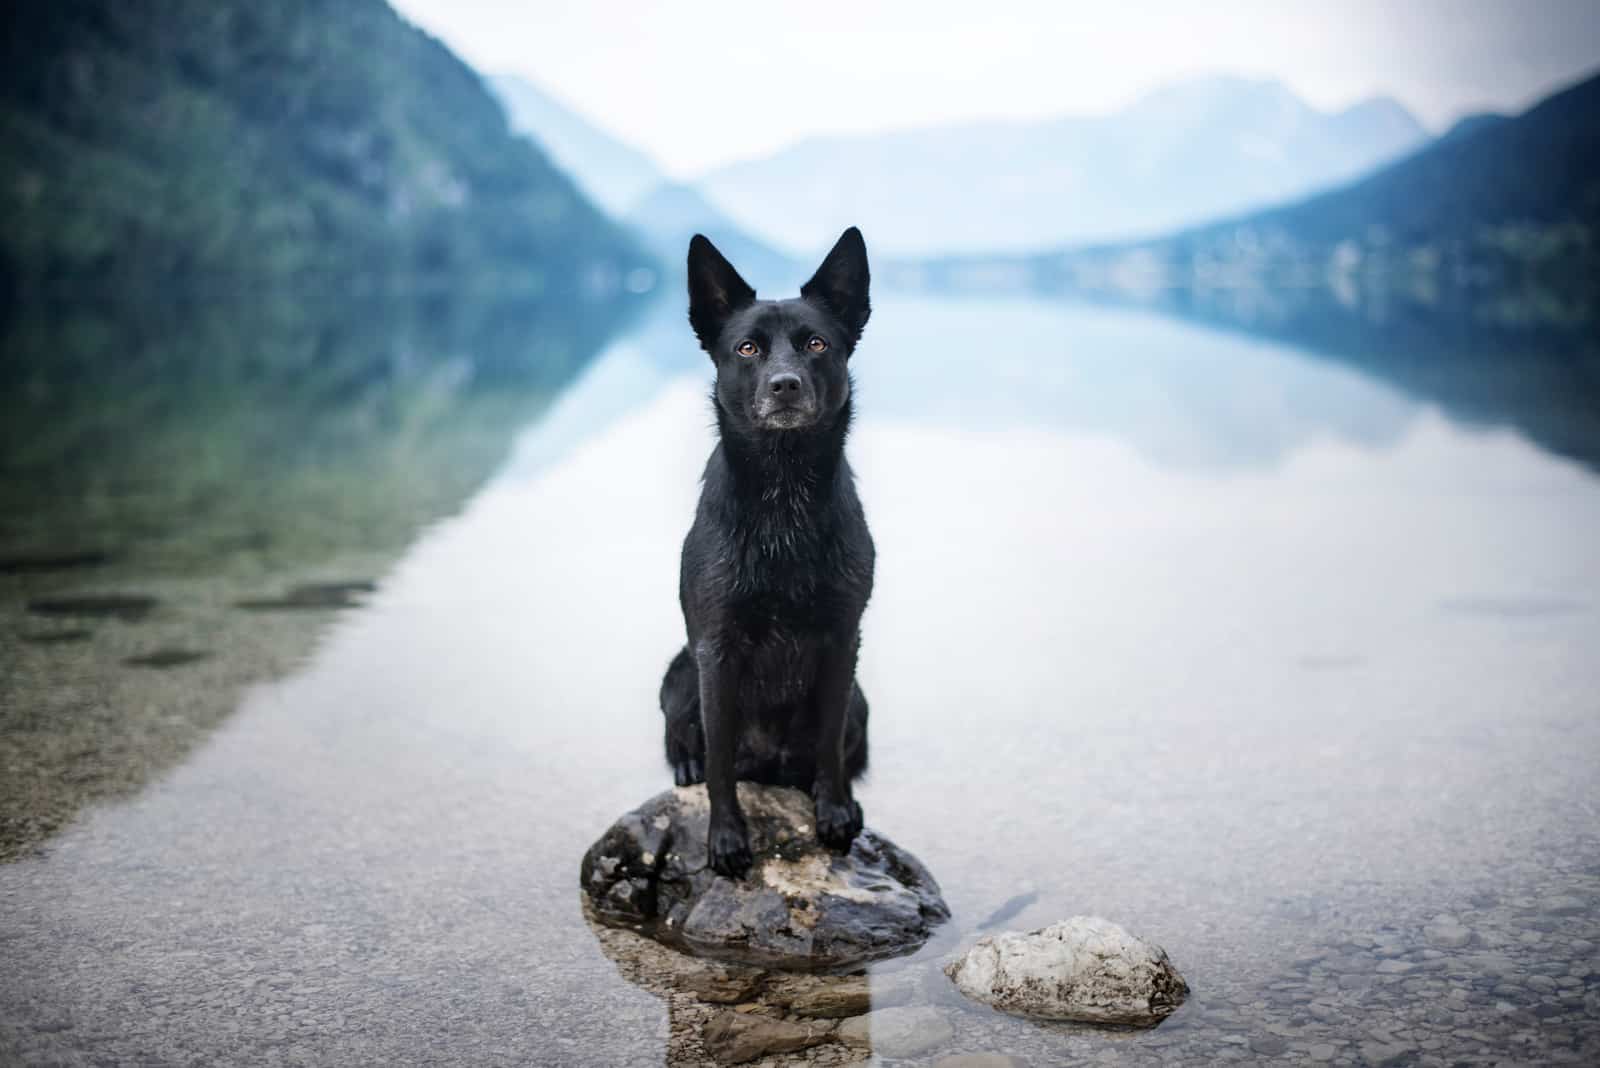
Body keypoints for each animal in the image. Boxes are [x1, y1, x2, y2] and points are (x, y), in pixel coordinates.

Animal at [656, 225, 876, 876]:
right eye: (748, 349)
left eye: (817, 344)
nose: (785, 385)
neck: (784, 495)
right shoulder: (717, 649)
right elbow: (721, 761)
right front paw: (726, 838)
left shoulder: (842, 640)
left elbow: (829, 743)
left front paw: (835, 810)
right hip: (680, 673)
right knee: (688, 742)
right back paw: (687, 766)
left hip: (861, 699)